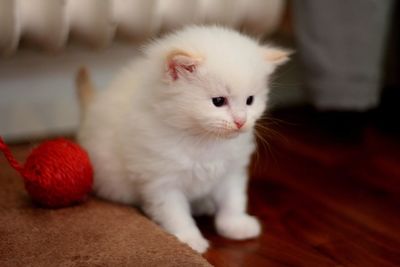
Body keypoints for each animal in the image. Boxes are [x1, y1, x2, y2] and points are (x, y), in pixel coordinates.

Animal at [77, 24, 288, 253]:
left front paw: (235, 225)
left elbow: (233, 200)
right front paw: (188, 240)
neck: (203, 139)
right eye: (218, 101)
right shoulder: (161, 181)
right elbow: (175, 214)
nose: (241, 121)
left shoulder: (231, 172)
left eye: (250, 100)